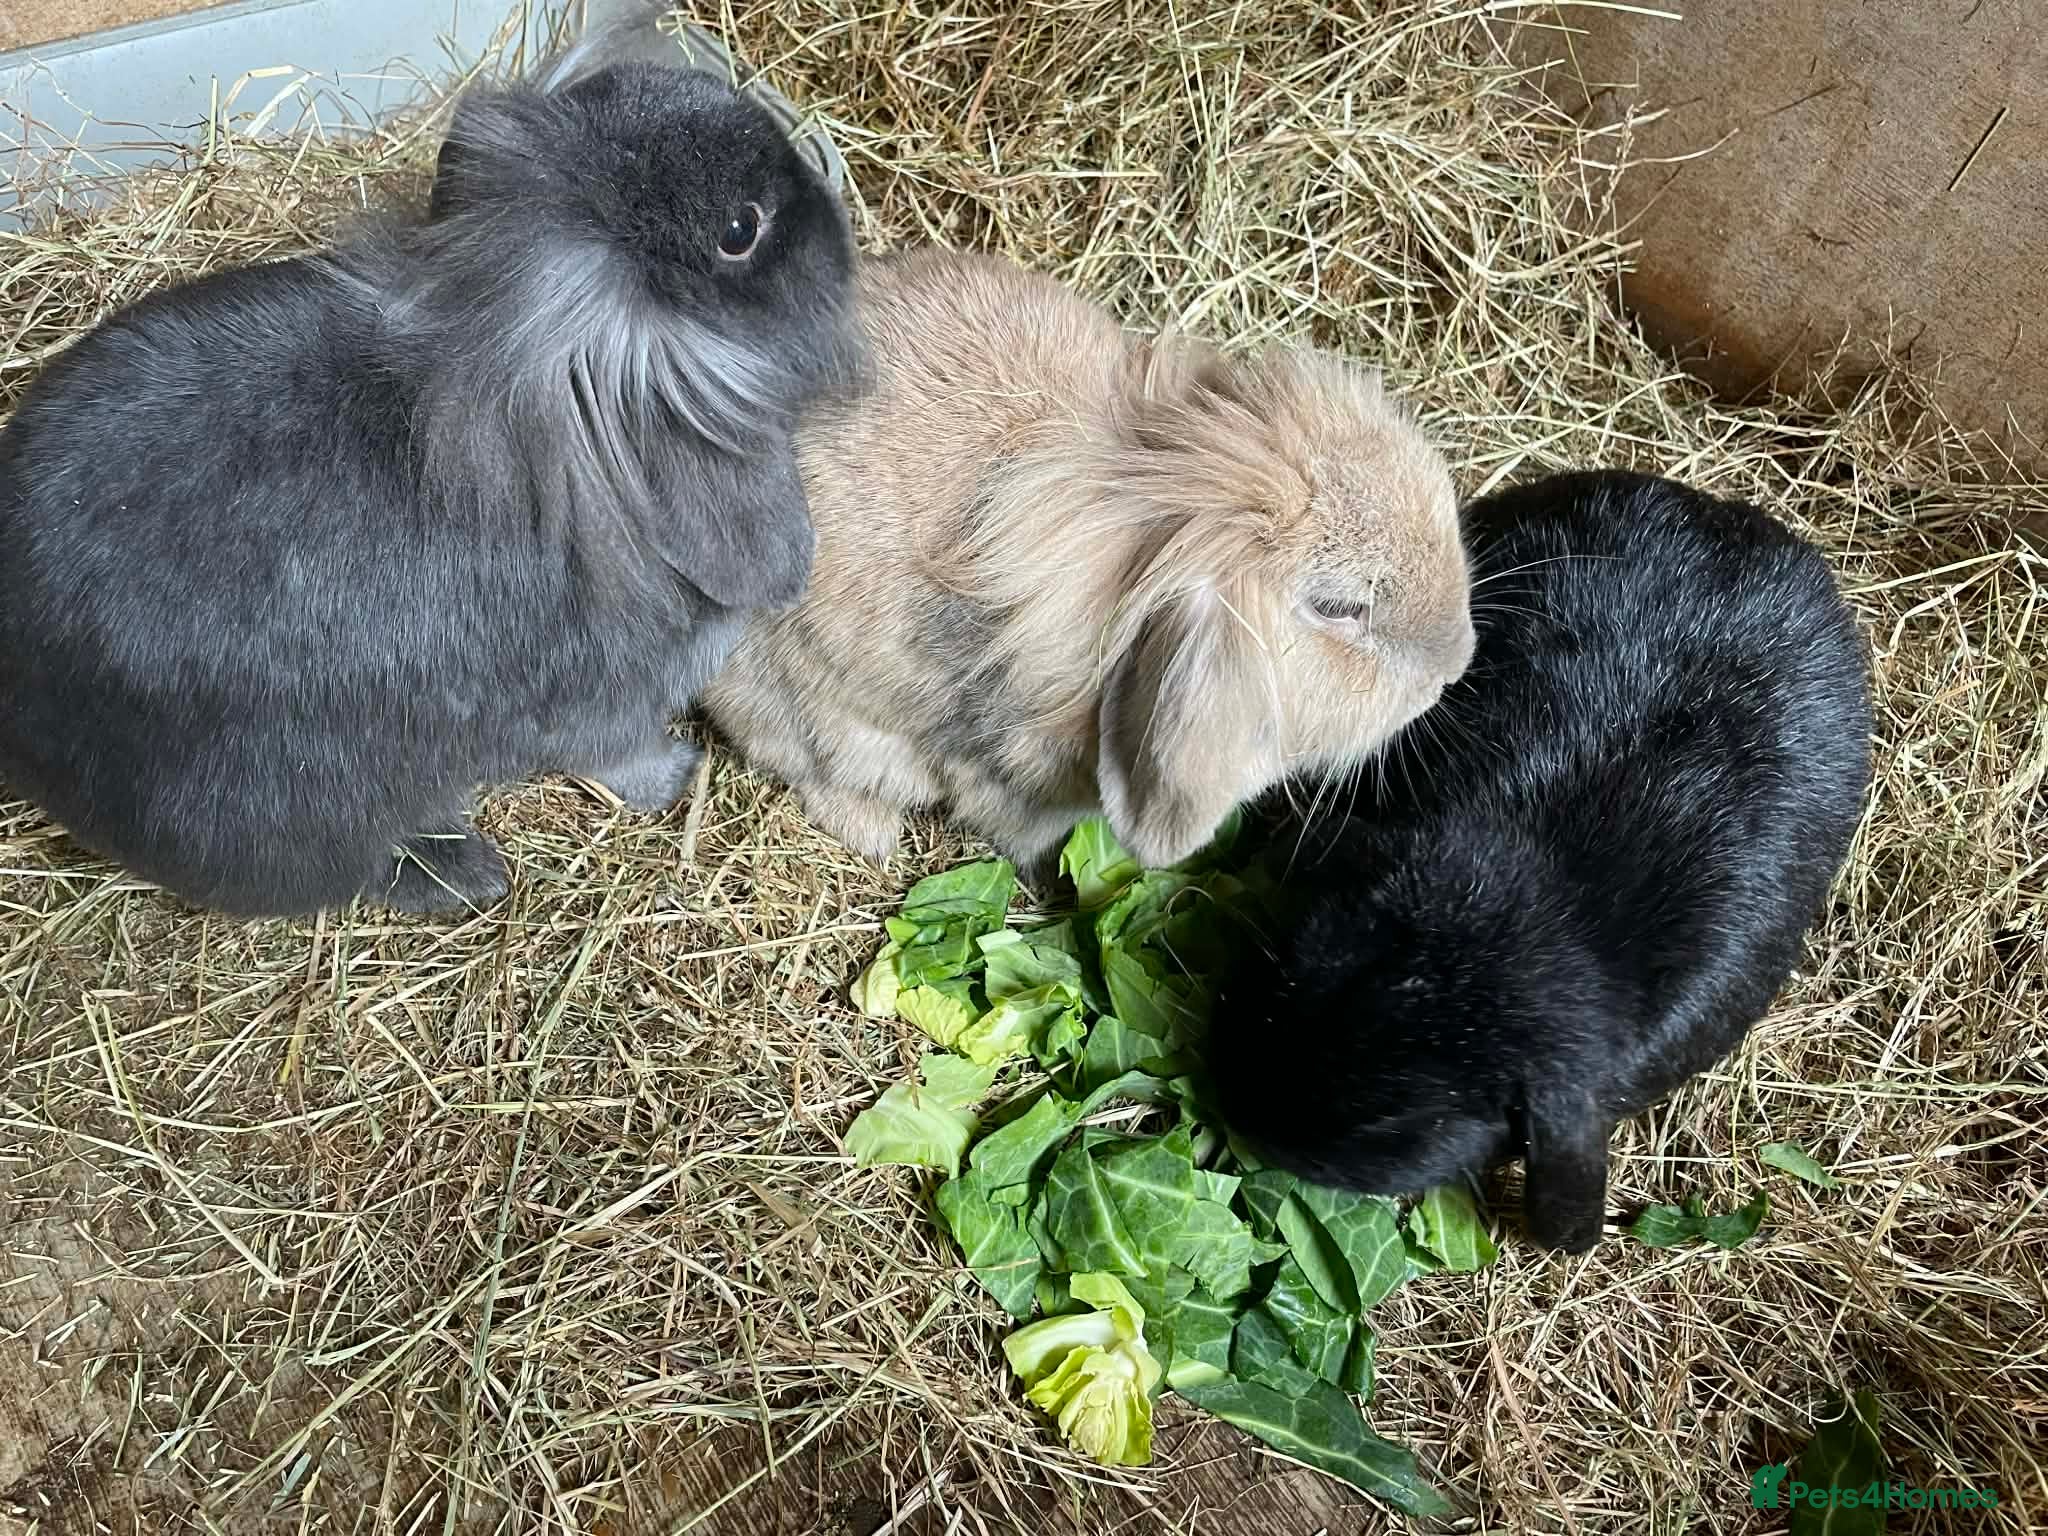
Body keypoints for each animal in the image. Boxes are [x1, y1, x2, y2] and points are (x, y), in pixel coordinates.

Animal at [0, 15, 857, 919]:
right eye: (740, 230)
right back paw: (470, 872)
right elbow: (617, 757)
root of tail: (24, 723)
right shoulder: (601, 710)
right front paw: (677, 777)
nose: (835, 217)